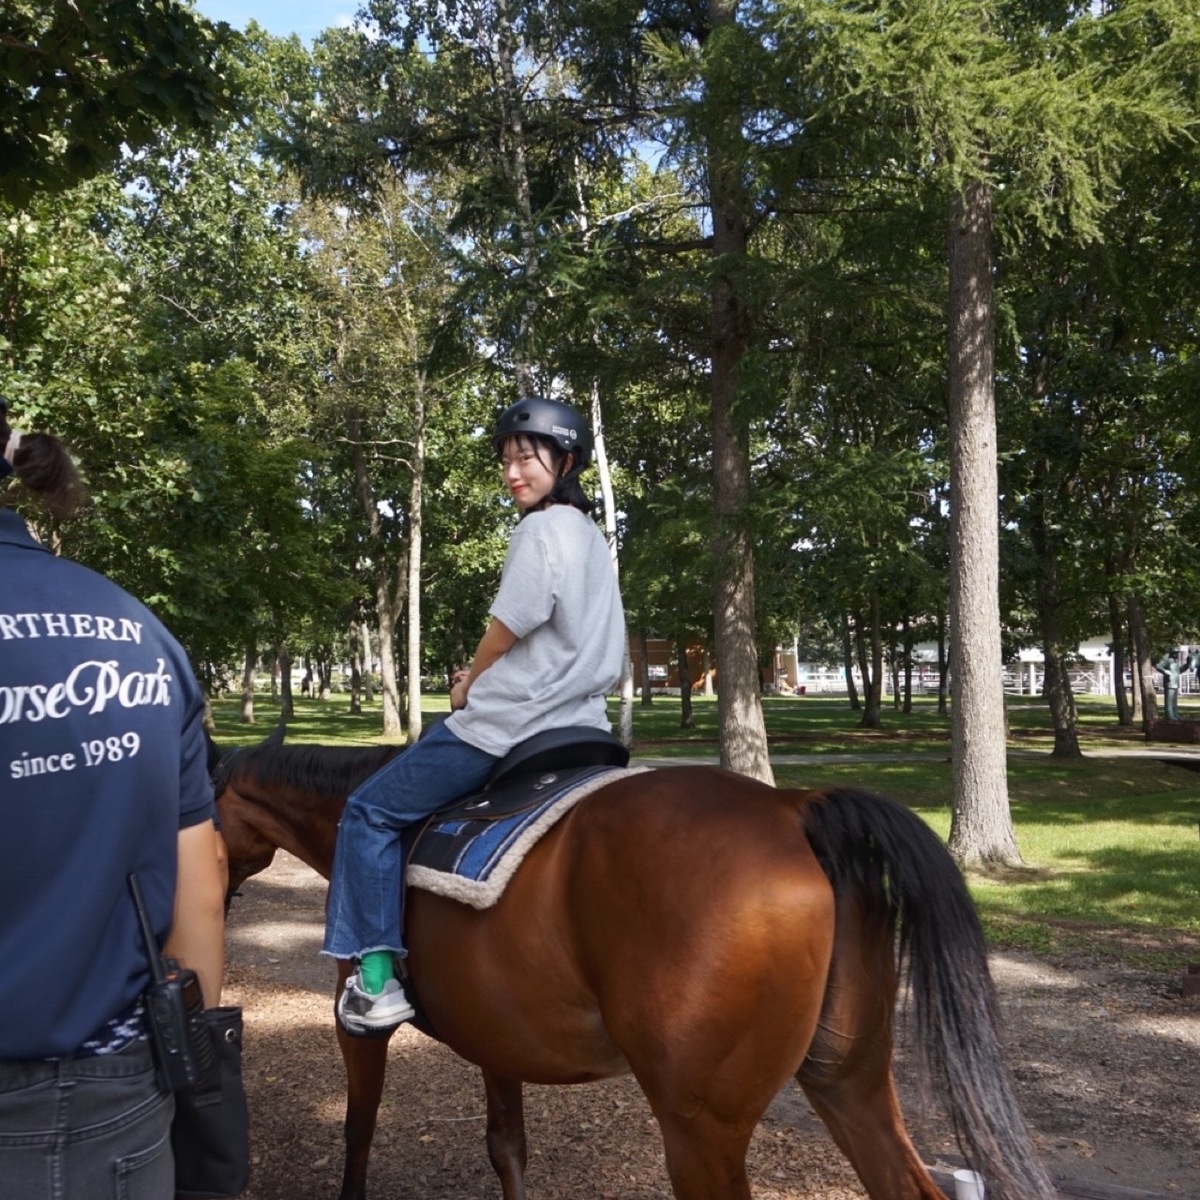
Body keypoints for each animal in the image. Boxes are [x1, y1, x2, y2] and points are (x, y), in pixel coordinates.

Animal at [213, 734, 1051, 1200]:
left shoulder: (357, 1028)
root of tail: (796, 808)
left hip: (702, 1129)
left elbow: (358, 1128)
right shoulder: (496, 1042)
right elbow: (506, 1149)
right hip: (852, 1083)